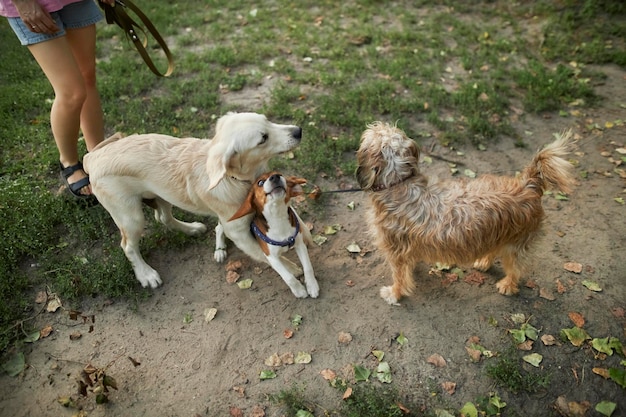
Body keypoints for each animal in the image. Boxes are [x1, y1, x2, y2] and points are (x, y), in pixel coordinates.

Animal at [83, 110, 302, 288]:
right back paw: (146, 275)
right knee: (128, 246)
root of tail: (91, 158)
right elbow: (264, 255)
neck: (237, 180)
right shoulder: (239, 233)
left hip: (162, 194)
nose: (299, 130)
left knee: (163, 218)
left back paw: (192, 229)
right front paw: (293, 270)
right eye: (263, 138)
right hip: (131, 217)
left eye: (268, 120)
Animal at [356, 122, 576, 304]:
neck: (399, 183)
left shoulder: (396, 253)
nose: (373, 124)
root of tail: (529, 184)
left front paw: (394, 294)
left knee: (516, 270)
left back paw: (507, 285)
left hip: (517, 246)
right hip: (498, 234)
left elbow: (400, 277)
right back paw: (483, 262)